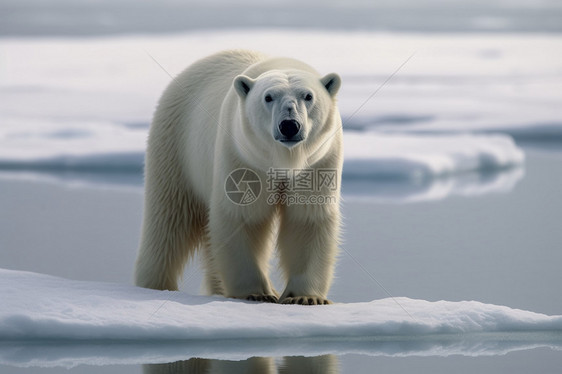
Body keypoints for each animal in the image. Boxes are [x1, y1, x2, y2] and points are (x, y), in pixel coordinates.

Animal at [136, 49, 342, 306]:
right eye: (268, 97)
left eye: (308, 96)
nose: (289, 126)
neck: (284, 160)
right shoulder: (241, 156)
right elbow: (240, 216)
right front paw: (257, 293)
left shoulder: (318, 162)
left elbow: (307, 219)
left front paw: (305, 297)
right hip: (175, 147)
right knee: (168, 220)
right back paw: (155, 285)